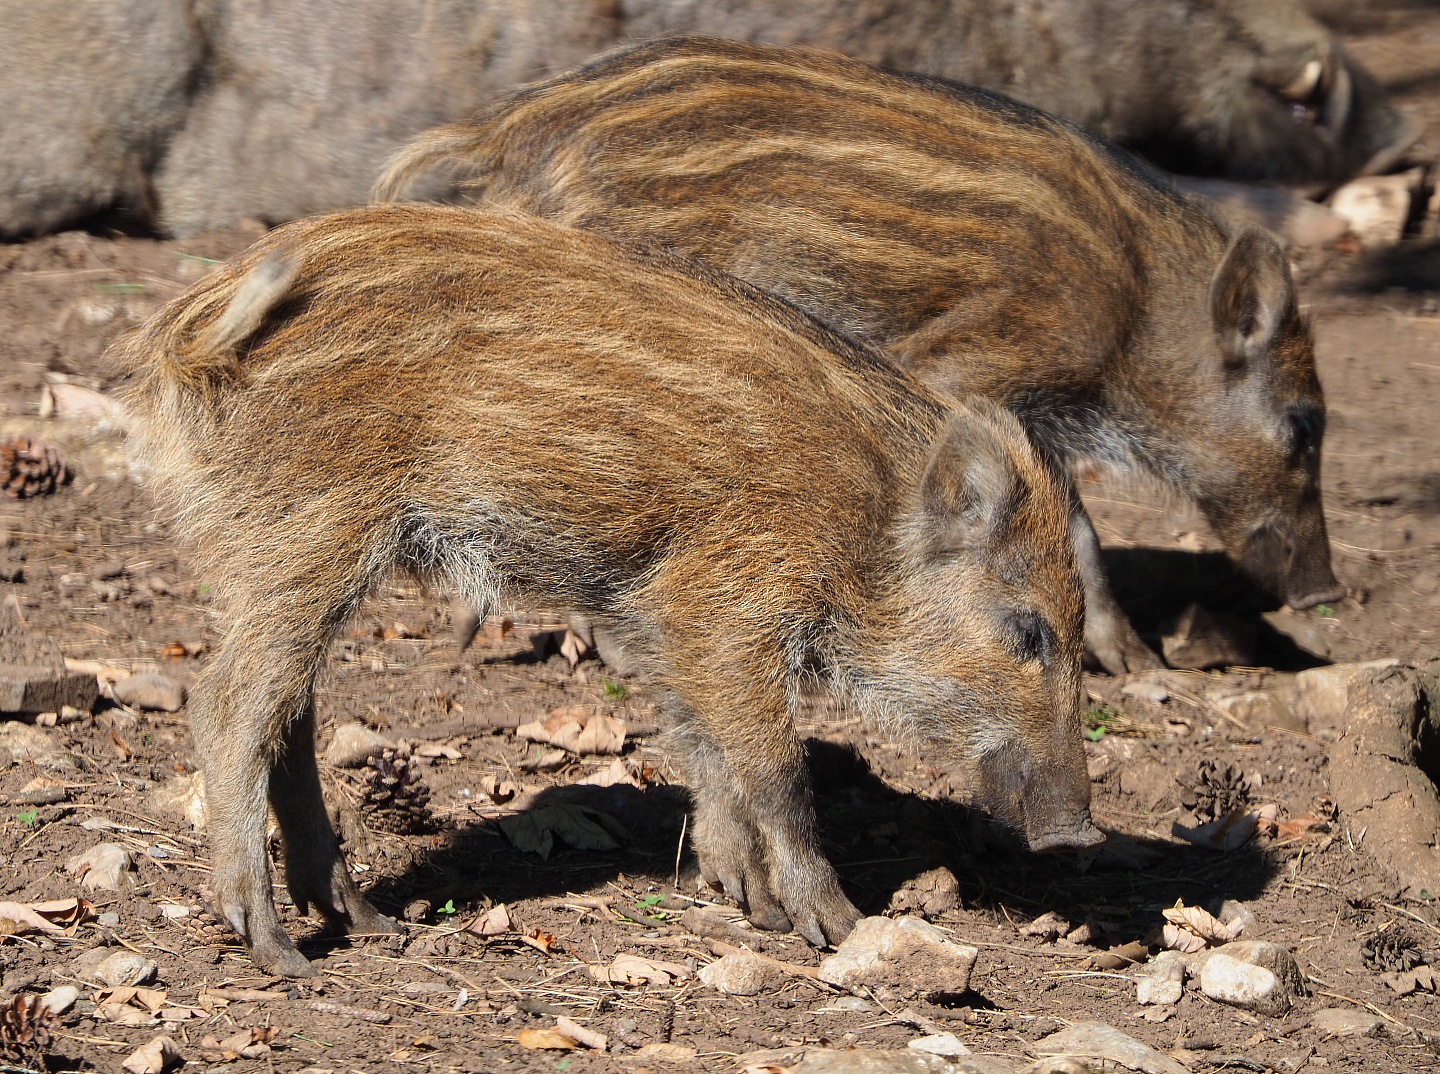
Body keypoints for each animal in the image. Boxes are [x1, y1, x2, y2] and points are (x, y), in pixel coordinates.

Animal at [116, 202, 1100, 977]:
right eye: (1028, 630)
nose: (1082, 836)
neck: (868, 524)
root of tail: (189, 332)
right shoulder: (728, 597)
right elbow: (776, 768)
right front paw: (837, 926)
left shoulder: (661, 611)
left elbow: (702, 745)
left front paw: (747, 900)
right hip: (316, 527)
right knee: (228, 704)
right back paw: (276, 948)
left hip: (280, 548)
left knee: (289, 714)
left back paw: (366, 922)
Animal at [376, 36, 1347, 675]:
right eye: (1302, 423)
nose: (1328, 595)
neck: (1134, 314)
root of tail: (502, 129)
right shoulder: (975, 371)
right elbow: (1072, 520)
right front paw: (1144, 669)